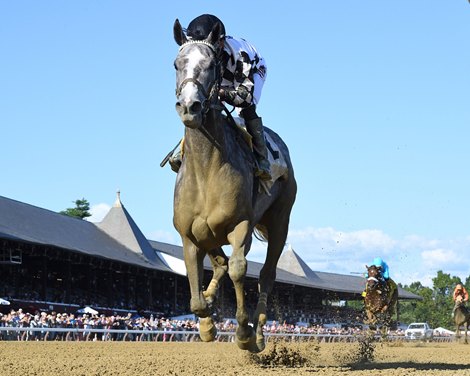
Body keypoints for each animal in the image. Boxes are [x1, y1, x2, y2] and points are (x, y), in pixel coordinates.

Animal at [171, 18, 298, 352]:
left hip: (280, 222)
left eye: (210, 65)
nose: (189, 106)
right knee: (220, 264)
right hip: (211, 233)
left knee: (266, 274)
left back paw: (260, 332)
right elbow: (196, 296)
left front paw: (243, 331)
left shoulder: (240, 225)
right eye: (176, 64)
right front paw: (206, 325)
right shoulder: (190, 234)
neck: (206, 170)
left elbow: (240, 269)